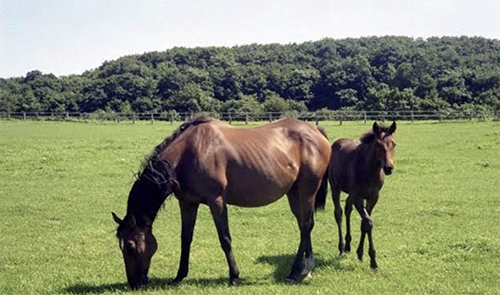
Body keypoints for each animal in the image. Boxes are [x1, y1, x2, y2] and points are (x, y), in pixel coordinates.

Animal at [113, 115, 332, 290]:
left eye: (130, 246)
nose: (134, 283)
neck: (188, 153)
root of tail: (315, 130)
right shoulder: (187, 203)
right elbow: (185, 239)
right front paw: (179, 276)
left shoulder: (216, 200)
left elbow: (225, 238)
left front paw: (234, 276)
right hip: (294, 193)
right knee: (304, 226)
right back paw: (302, 270)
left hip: (307, 189)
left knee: (306, 225)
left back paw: (298, 272)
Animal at [318, 121, 396, 270]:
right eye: (378, 145)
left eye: (394, 144)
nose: (389, 168)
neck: (369, 170)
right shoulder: (358, 197)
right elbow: (368, 222)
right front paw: (373, 260)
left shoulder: (373, 197)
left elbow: (364, 223)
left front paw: (360, 253)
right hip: (336, 188)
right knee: (339, 213)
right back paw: (342, 249)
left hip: (351, 194)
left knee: (348, 208)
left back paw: (348, 245)